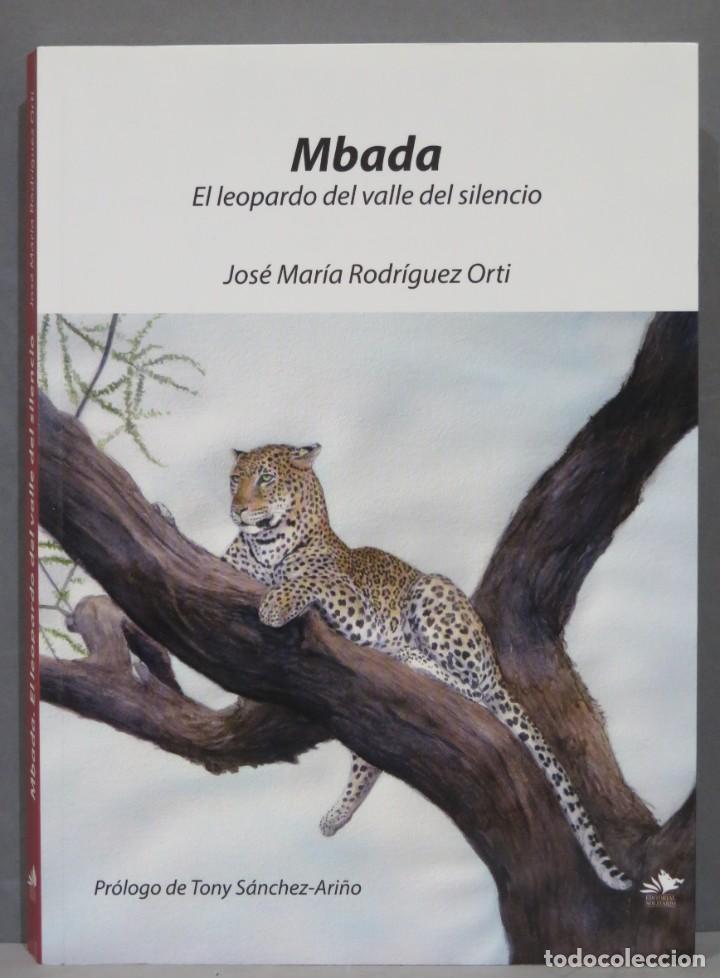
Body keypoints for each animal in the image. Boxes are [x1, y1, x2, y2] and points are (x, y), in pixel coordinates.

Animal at [221, 441, 632, 891]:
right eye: (234, 479)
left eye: (266, 478)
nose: (237, 510)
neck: (266, 546)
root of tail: (494, 661)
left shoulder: (356, 608)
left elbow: (310, 581)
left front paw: (276, 603)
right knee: (367, 762)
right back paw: (336, 816)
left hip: (432, 593)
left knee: (475, 690)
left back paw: (409, 657)